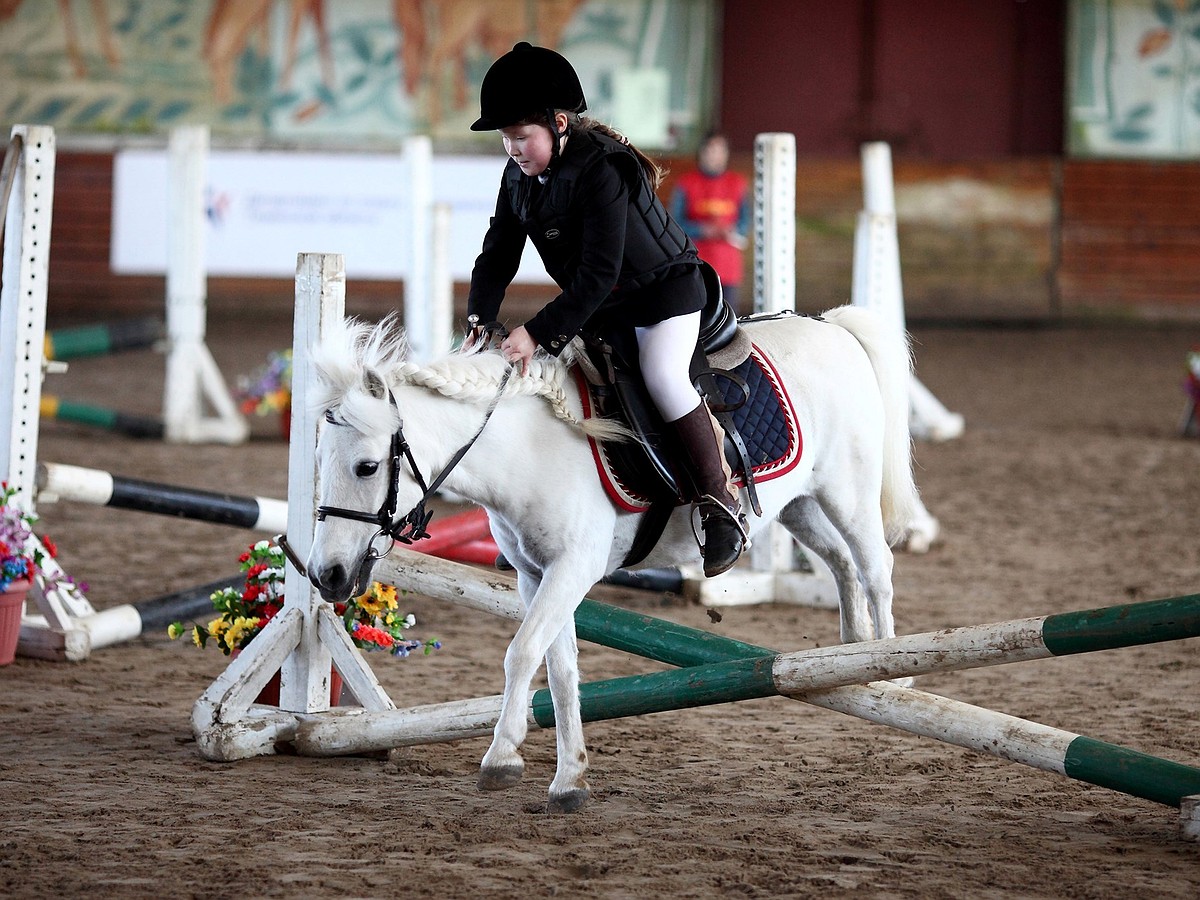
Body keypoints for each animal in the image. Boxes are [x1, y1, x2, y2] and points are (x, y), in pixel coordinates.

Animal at [304, 307, 912, 816]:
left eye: (365, 466)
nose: (325, 574)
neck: (527, 448)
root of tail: (833, 327)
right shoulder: (535, 576)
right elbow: (560, 670)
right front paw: (570, 780)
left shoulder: (572, 568)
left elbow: (522, 652)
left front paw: (502, 757)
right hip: (799, 505)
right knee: (841, 563)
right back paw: (852, 649)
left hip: (847, 493)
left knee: (875, 565)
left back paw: (891, 672)